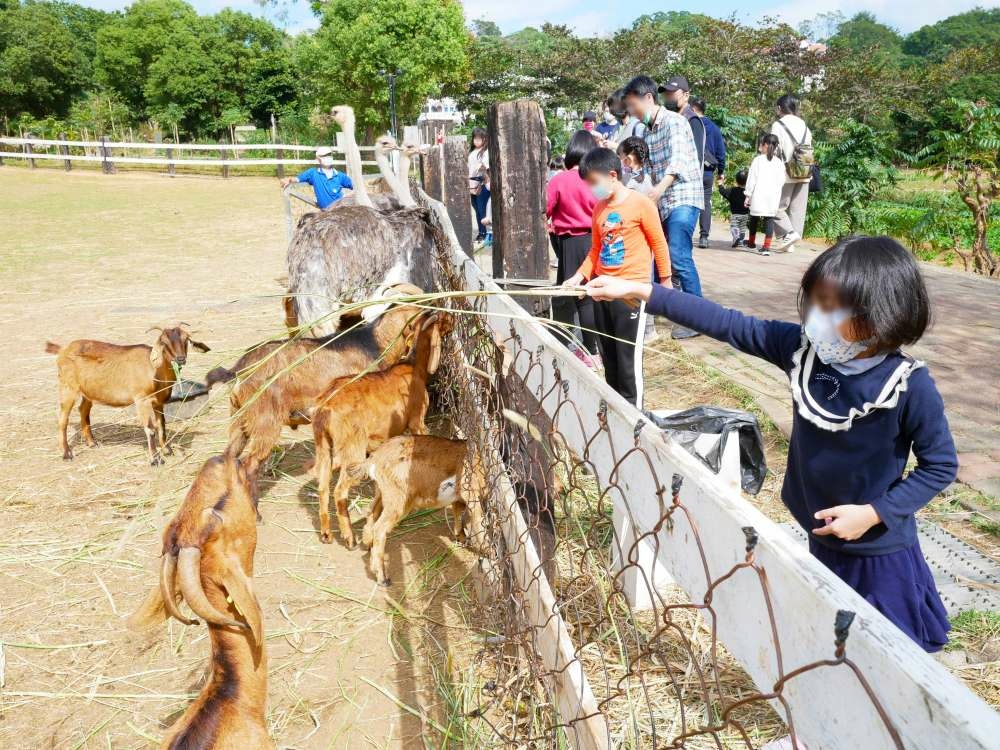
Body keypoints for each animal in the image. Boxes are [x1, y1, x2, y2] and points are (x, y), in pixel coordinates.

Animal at [48, 328, 211, 464]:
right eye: (163, 342)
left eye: (186, 339)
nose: (180, 359)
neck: (154, 369)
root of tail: (63, 349)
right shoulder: (142, 400)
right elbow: (150, 429)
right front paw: (155, 459)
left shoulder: (159, 402)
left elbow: (162, 425)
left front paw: (167, 450)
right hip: (68, 387)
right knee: (63, 419)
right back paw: (67, 453)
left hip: (89, 390)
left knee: (83, 409)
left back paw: (92, 443)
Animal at [209, 284, 428, 484]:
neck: (374, 343)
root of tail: (239, 370)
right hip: (265, 424)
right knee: (249, 463)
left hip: (239, 422)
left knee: (229, 455)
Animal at [312, 312, 454, 548]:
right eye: (442, 319)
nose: (452, 316)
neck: (414, 366)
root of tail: (325, 408)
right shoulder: (417, 421)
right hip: (352, 450)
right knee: (339, 490)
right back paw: (349, 536)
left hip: (322, 445)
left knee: (322, 486)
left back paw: (326, 534)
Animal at [354, 434, 486, 588]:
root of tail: (375, 458)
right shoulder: (472, 494)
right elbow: (479, 523)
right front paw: (488, 552)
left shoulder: (458, 498)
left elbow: (458, 516)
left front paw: (462, 539)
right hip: (398, 499)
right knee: (379, 528)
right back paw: (382, 578)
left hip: (382, 492)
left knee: (371, 513)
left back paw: (369, 548)